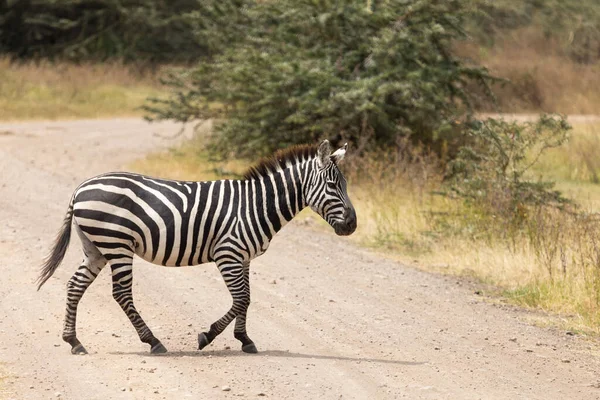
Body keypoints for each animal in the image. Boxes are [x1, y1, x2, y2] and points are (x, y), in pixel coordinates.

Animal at [38, 139, 356, 354]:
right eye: (333, 185)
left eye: (345, 185)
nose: (352, 225)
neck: (255, 205)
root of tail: (81, 188)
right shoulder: (228, 254)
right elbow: (241, 299)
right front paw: (208, 336)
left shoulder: (244, 258)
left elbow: (247, 298)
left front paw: (245, 339)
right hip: (117, 245)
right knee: (121, 293)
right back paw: (153, 342)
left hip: (96, 247)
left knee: (75, 285)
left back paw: (74, 341)